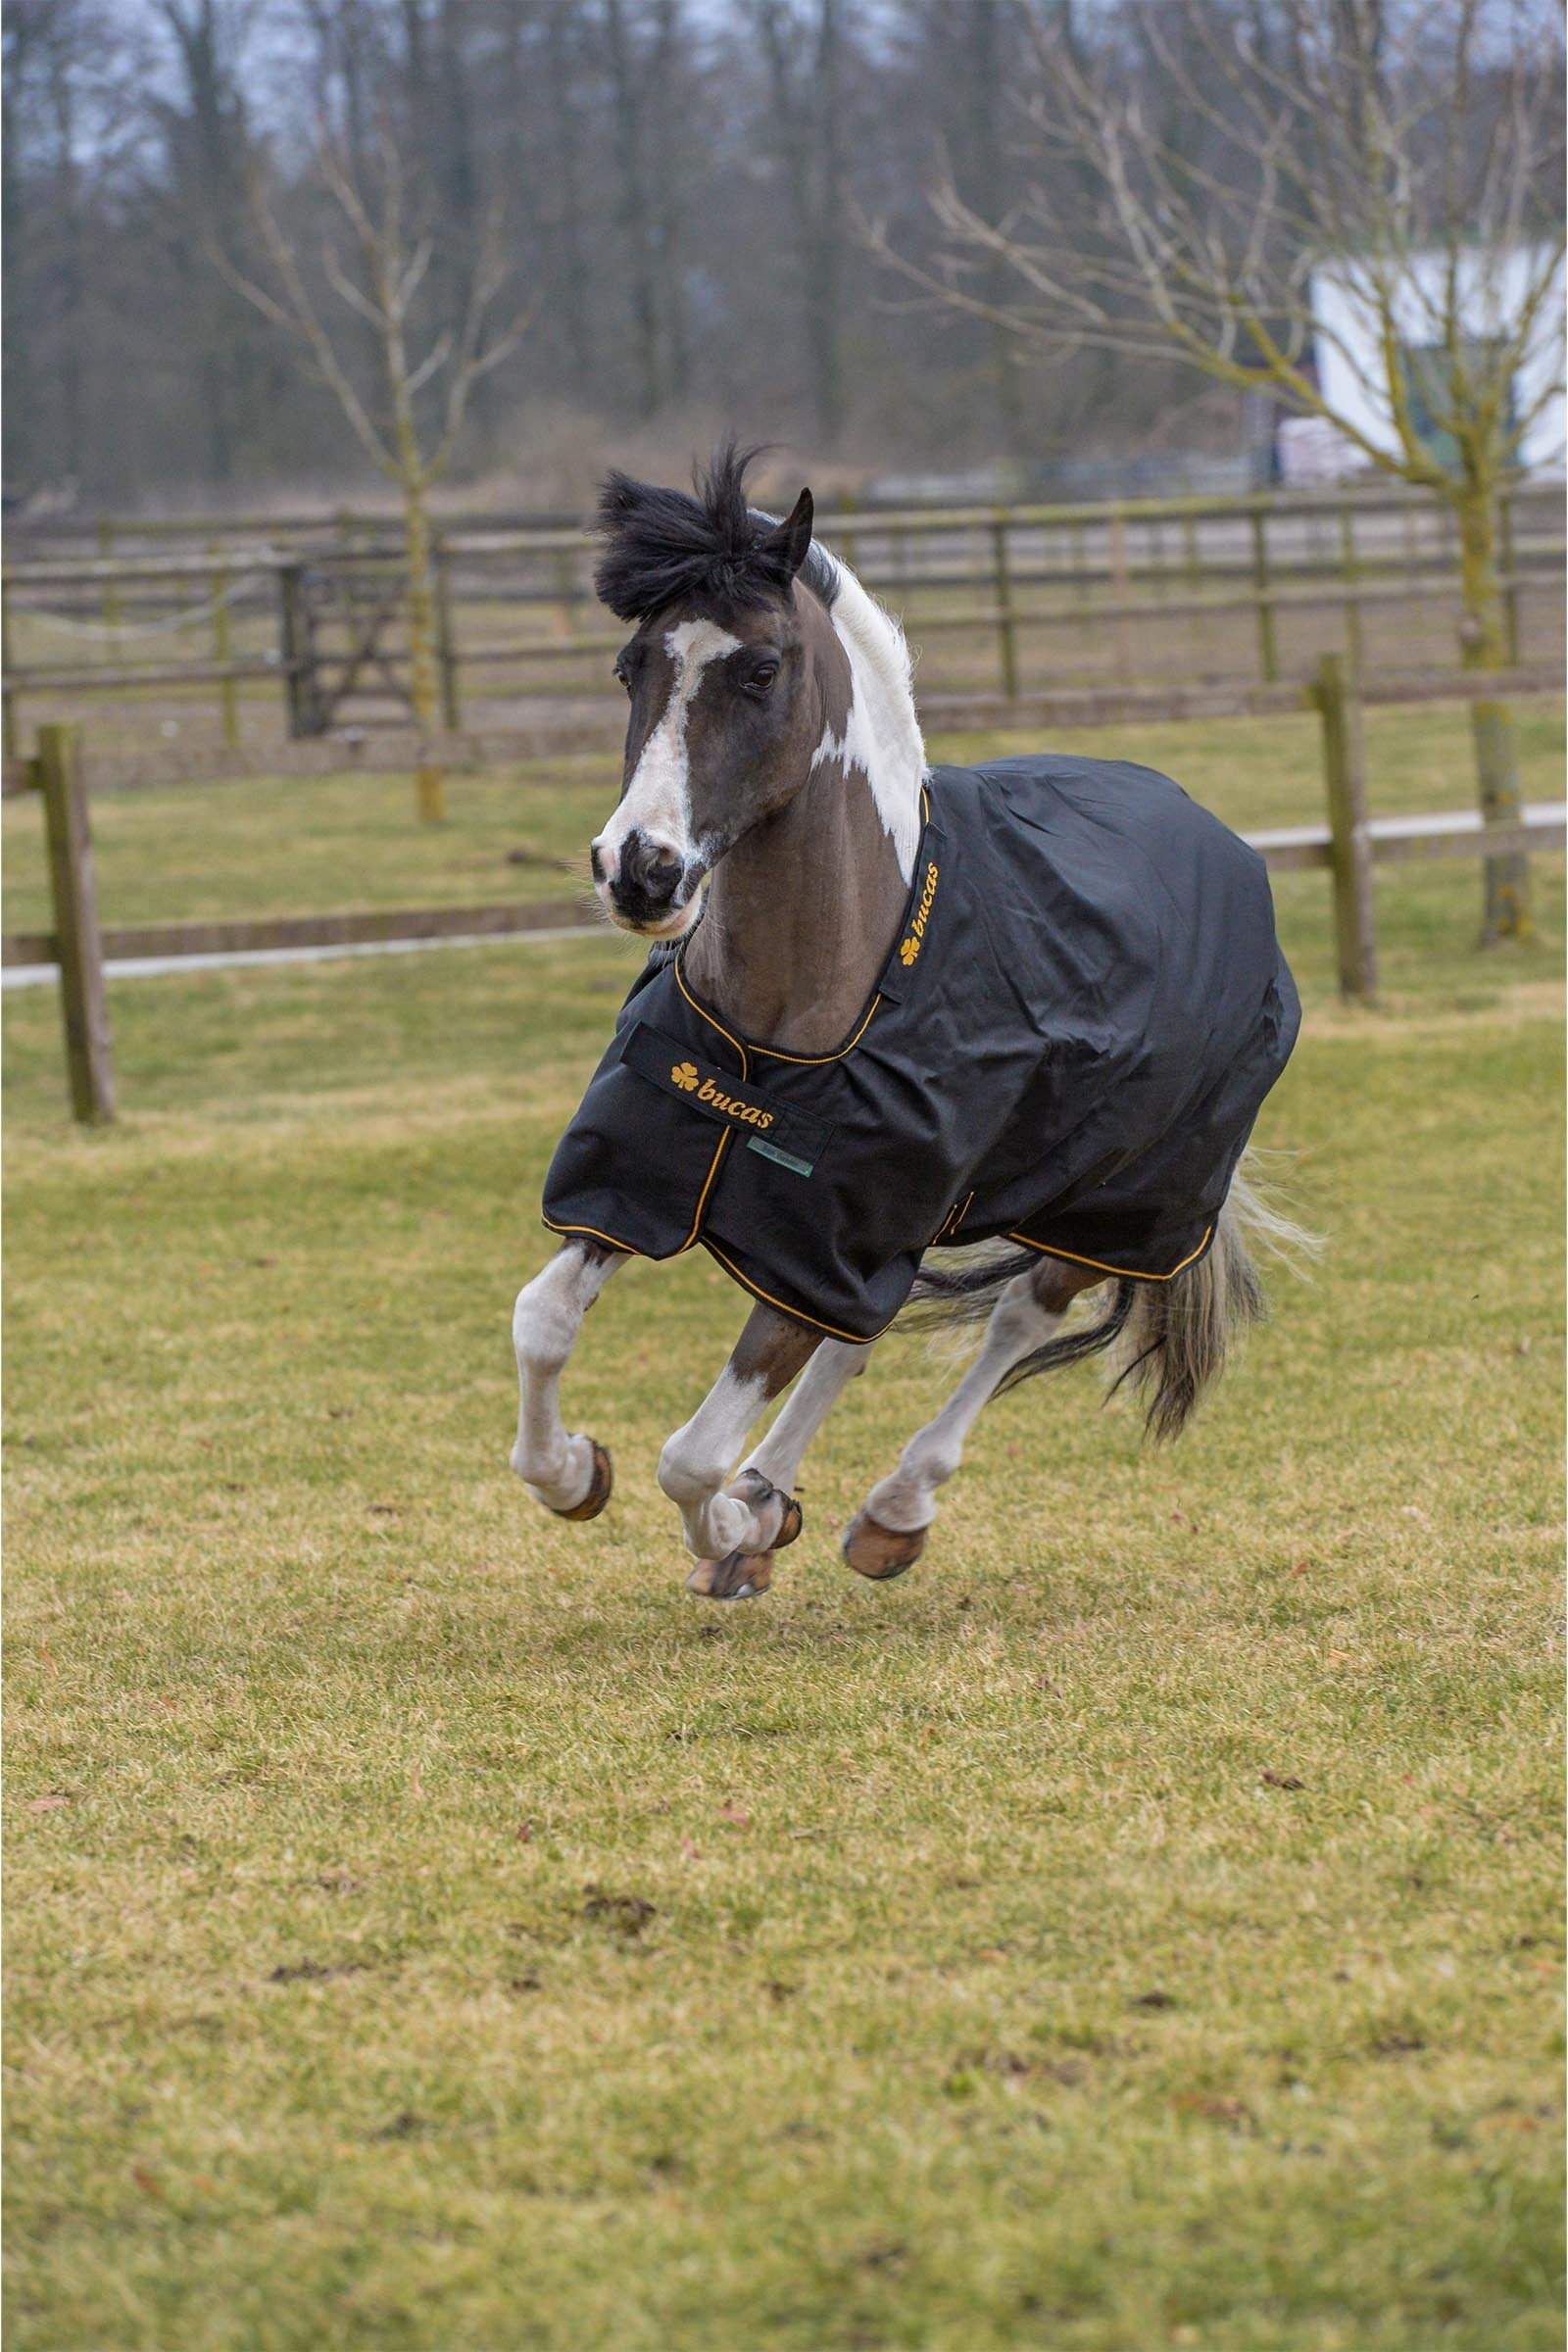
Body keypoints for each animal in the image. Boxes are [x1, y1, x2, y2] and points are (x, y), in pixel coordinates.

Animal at [510, 447, 1304, 1600]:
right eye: (631, 667)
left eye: (760, 671)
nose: (640, 871)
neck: (782, 1037)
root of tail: (1218, 837)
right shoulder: (655, 1190)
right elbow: (544, 1323)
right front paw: (579, 1474)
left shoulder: (820, 1247)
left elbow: (690, 1456)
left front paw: (729, 1528)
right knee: (860, 1340)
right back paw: (775, 1501)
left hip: (1118, 1203)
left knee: (1018, 1318)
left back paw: (889, 1510)